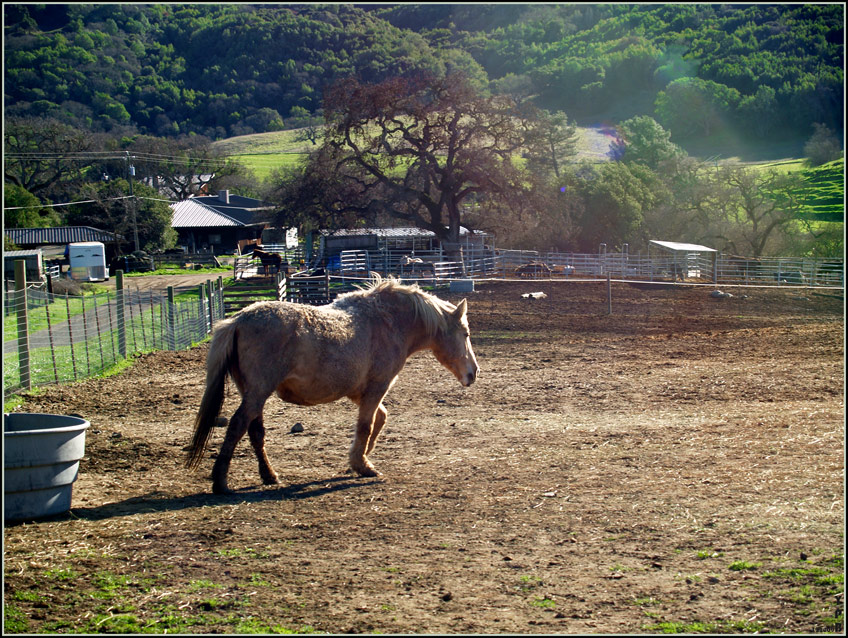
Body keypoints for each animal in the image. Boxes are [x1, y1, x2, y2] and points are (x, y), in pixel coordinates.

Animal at [186, 276, 476, 496]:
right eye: (466, 334)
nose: (474, 373)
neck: (387, 321)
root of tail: (237, 321)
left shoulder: (359, 392)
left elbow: (379, 419)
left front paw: (361, 457)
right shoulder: (376, 387)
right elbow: (367, 424)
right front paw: (362, 465)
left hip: (253, 394)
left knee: (255, 432)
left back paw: (269, 476)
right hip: (257, 393)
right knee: (237, 426)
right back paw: (221, 482)